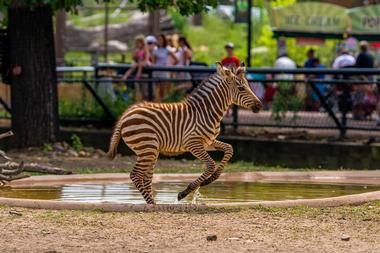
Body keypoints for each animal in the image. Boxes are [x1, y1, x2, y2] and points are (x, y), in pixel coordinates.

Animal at [107, 63, 262, 204]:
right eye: (241, 88)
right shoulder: (192, 143)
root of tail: (125, 114)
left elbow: (229, 149)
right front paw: (186, 191)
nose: (260, 106)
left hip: (150, 150)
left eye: (248, 86)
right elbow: (211, 164)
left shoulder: (208, 142)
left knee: (146, 177)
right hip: (148, 147)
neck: (206, 112)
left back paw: (153, 203)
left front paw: (211, 179)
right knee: (136, 175)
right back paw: (152, 204)